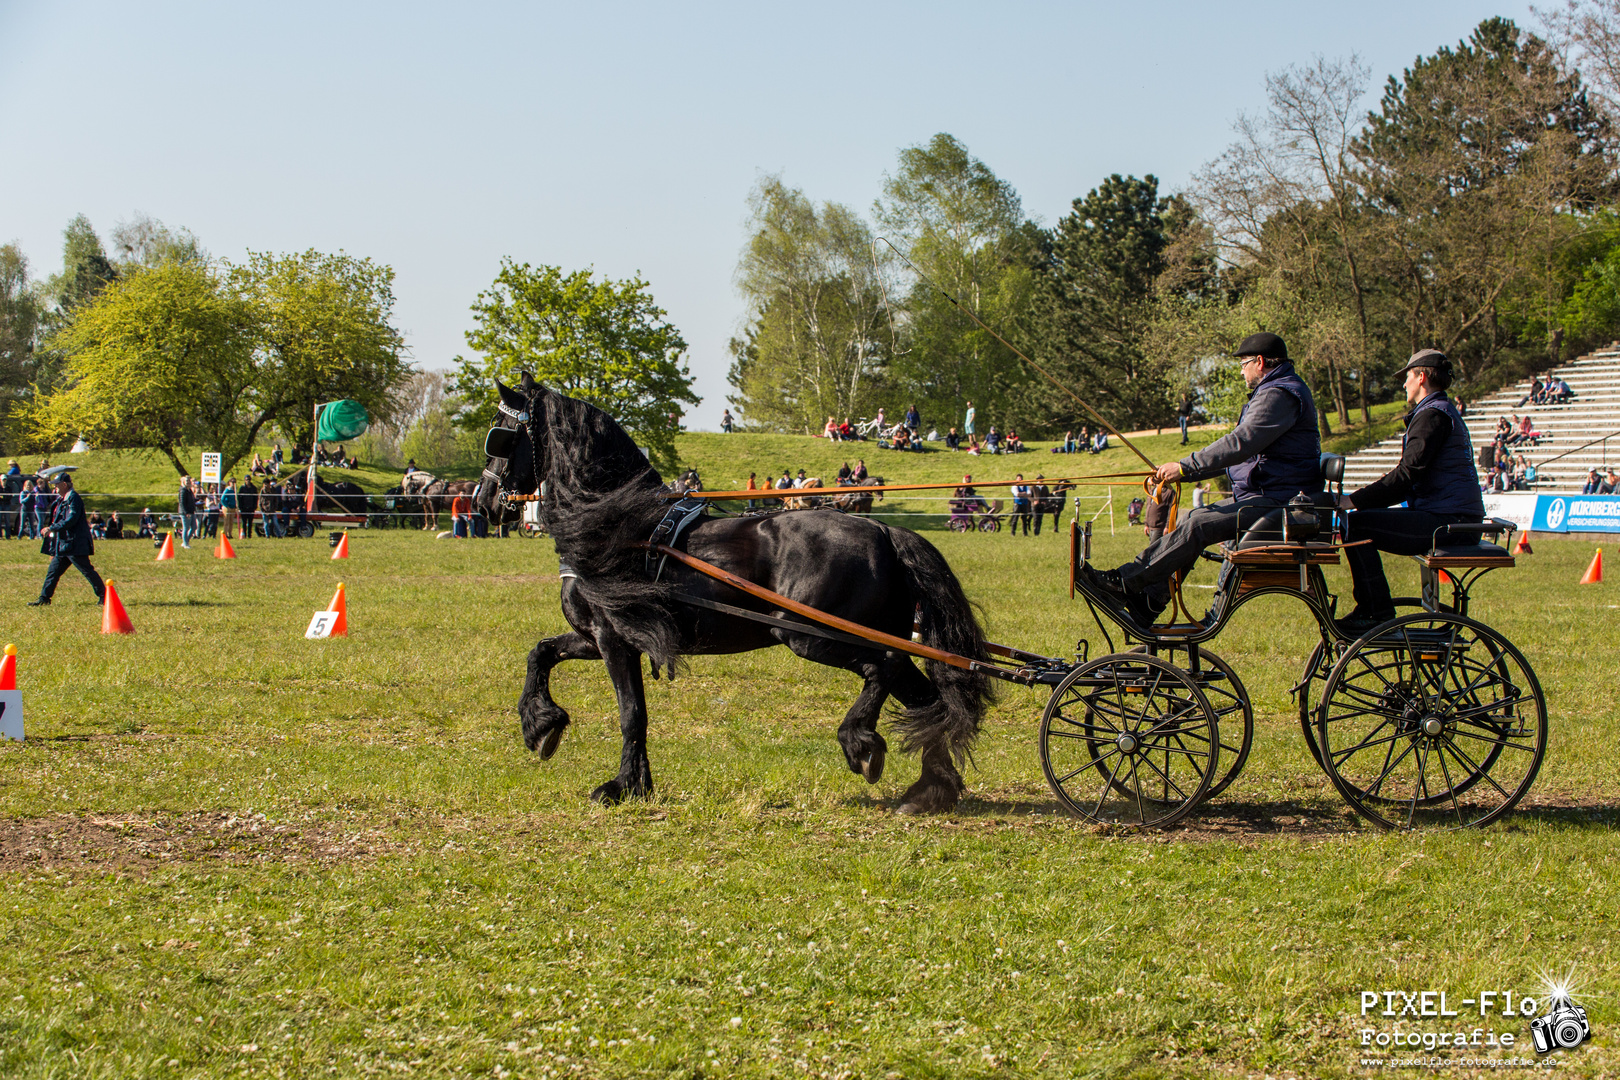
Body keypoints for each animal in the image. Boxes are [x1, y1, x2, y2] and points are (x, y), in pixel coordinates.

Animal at [473, 375, 991, 816]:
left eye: (501, 435)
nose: (483, 502)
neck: (616, 526)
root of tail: (884, 530)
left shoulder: (612, 638)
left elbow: (630, 714)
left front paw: (620, 786)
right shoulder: (599, 636)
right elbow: (542, 653)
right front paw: (542, 727)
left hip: (812, 635)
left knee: (883, 668)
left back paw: (861, 743)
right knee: (926, 699)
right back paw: (929, 790)